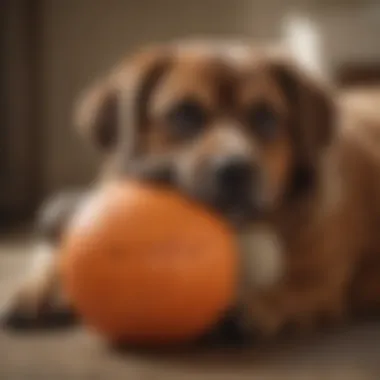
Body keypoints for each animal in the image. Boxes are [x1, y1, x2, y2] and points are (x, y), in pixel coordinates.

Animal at [2, 40, 380, 340]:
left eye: (266, 117)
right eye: (185, 113)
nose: (236, 170)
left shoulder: (321, 285)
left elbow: (290, 289)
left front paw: (252, 305)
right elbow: (56, 256)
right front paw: (38, 290)